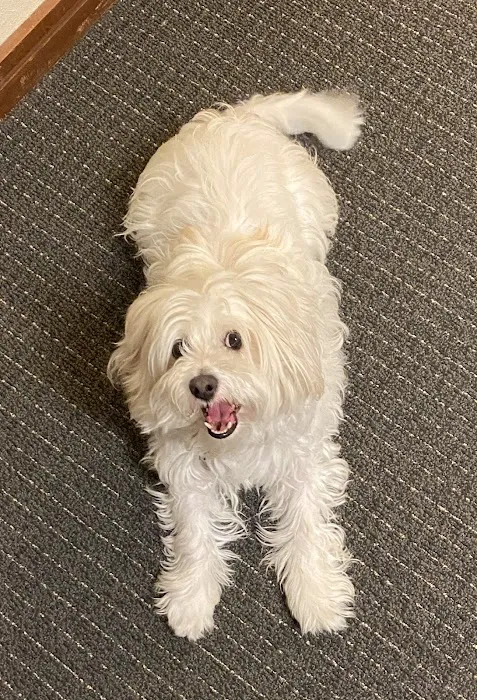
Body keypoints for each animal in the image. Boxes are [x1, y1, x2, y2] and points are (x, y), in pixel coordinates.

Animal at [108, 89, 363, 640]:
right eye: (177, 349)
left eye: (233, 340)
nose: (203, 385)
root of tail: (237, 118)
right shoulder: (183, 464)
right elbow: (194, 529)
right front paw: (190, 596)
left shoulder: (304, 454)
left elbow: (306, 522)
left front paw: (316, 594)